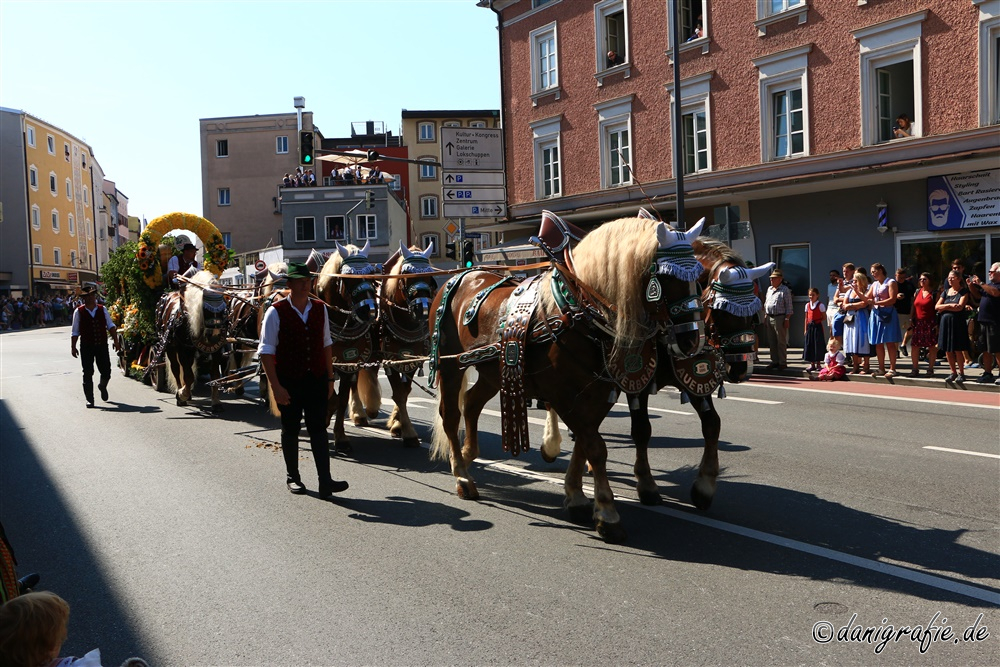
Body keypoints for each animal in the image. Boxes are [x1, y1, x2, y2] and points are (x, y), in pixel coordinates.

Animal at [156, 272, 230, 412]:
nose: (214, 336)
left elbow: (215, 375)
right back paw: (180, 393)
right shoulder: (184, 350)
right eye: (205, 308)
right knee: (176, 369)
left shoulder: (216, 351)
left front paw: (216, 402)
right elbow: (188, 375)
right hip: (170, 348)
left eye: (223, 308)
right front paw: (181, 395)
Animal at [316, 243, 378, 452]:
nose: (371, 310)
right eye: (349, 278)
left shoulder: (348, 367)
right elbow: (331, 398)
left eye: (372, 274)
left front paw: (340, 436)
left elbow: (341, 400)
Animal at [350, 240, 436, 448]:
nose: (423, 309)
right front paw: (408, 432)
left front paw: (398, 424)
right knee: (353, 381)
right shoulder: (391, 360)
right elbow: (398, 392)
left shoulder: (409, 359)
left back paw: (371, 408)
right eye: (406, 275)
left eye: (429, 276)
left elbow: (404, 392)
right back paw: (359, 413)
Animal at [428, 214, 704, 544]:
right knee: (450, 415)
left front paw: (577, 496)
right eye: (666, 277)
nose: (691, 341)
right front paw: (607, 513)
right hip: (450, 367)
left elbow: (585, 443)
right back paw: (461, 475)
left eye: (699, 276)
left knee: (471, 404)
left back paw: (470, 455)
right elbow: (595, 447)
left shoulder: (598, 393)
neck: (577, 310)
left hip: (492, 372)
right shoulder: (562, 394)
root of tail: (460, 276)